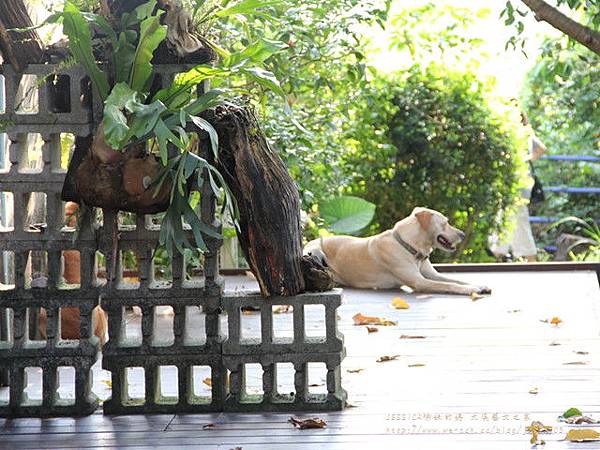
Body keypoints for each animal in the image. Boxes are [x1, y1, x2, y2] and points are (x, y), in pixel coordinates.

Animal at [304, 207, 492, 296]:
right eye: (445, 223)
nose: (462, 234)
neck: (411, 246)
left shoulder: (432, 275)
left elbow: (456, 279)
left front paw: (479, 285)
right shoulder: (420, 282)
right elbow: (449, 285)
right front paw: (471, 289)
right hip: (315, 251)